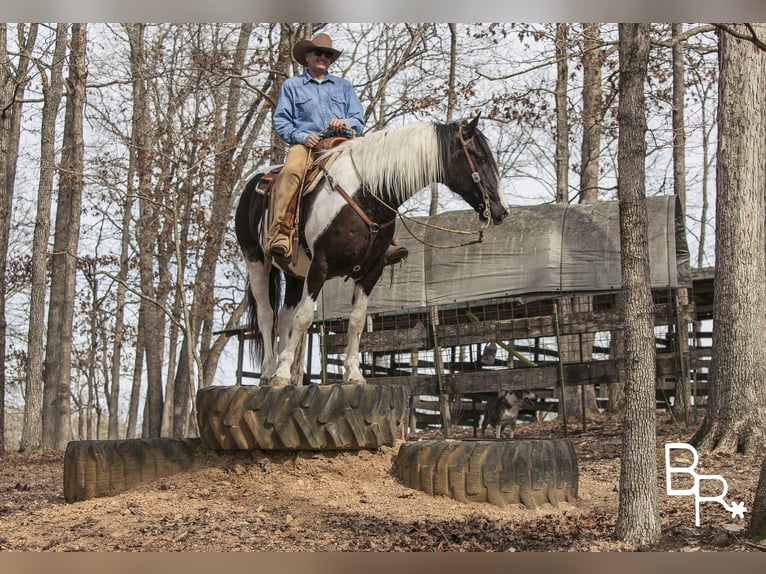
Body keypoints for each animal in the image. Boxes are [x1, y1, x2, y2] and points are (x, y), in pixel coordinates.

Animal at [234, 114, 510, 388]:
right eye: (480, 158)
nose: (502, 210)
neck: (367, 195)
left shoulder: (371, 271)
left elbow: (356, 322)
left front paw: (354, 374)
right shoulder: (320, 266)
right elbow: (303, 318)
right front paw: (281, 374)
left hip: (293, 272)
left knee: (284, 317)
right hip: (256, 261)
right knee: (267, 315)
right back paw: (269, 371)